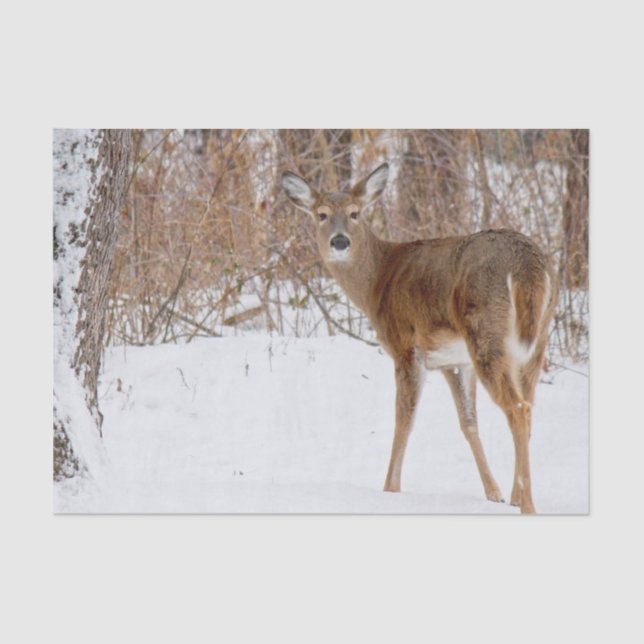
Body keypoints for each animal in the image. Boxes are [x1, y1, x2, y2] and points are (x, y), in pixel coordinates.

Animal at [282, 163, 557, 514]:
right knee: (528, 405)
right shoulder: (452, 360)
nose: (340, 241)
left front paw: (389, 489)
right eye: (321, 214)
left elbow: (404, 419)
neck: (376, 283)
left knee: (519, 407)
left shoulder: (405, 345)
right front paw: (493, 493)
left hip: (486, 330)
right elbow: (468, 422)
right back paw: (517, 496)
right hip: (535, 341)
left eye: (355, 213)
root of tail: (527, 265)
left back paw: (527, 505)